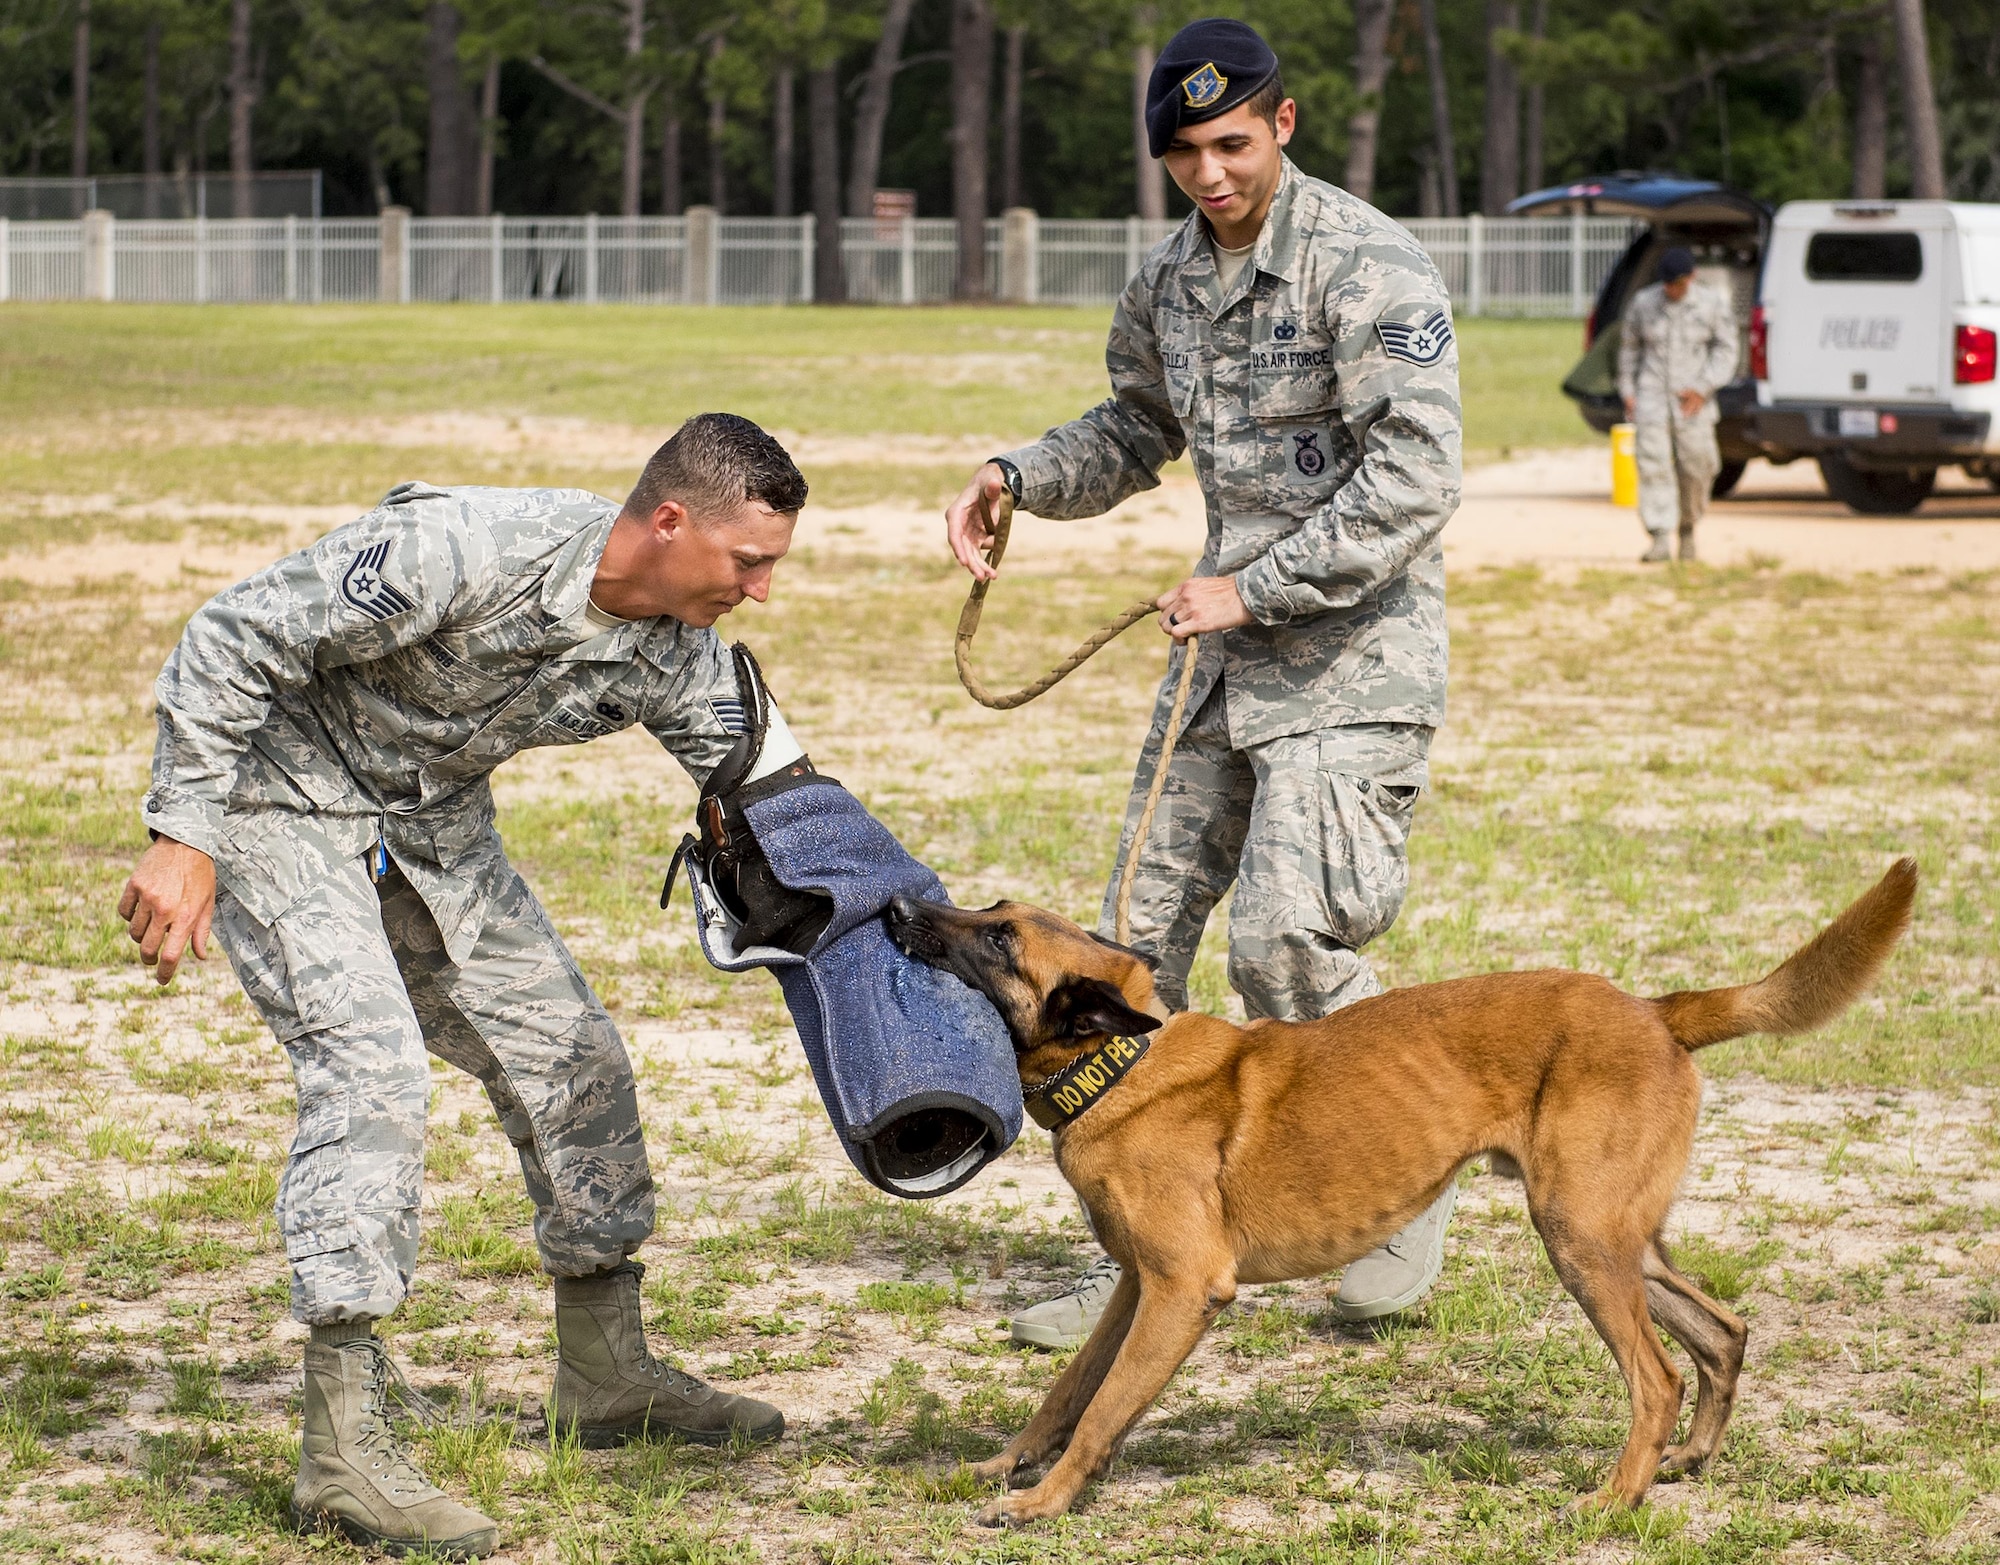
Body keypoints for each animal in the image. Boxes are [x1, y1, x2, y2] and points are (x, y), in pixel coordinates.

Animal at [884, 856, 1912, 1528]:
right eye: (992, 907)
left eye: (999, 938)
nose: (897, 905)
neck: (1120, 1063)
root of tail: (1656, 1011)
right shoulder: (1139, 1287)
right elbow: (1067, 1390)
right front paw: (1005, 1465)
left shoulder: (1182, 1289)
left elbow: (1101, 1412)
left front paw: (1044, 1501)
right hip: (1617, 1240)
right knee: (1723, 1331)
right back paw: (1687, 1460)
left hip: (1579, 1240)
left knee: (1656, 1375)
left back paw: (1618, 1497)